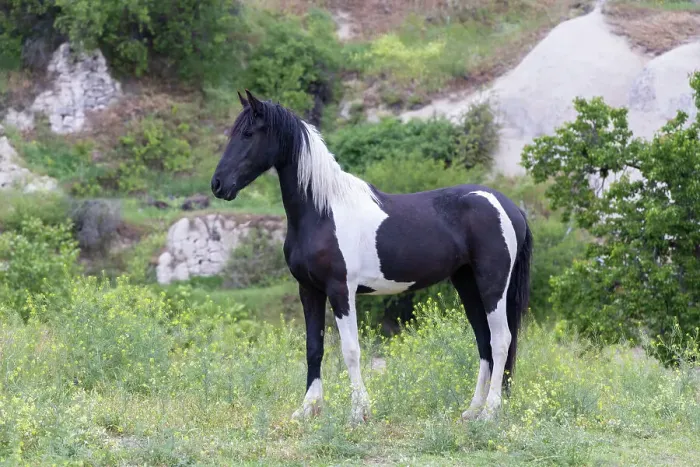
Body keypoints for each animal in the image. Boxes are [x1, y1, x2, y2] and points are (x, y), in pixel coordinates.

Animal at [211, 90, 533, 424]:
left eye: (248, 134)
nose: (218, 184)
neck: (322, 211)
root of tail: (509, 206)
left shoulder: (341, 290)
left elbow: (351, 350)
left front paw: (358, 412)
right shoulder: (309, 290)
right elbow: (314, 348)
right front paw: (307, 408)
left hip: (493, 285)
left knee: (501, 341)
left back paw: (490, 412)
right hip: (467, 283)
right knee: (484, 341)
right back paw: (472, 410)